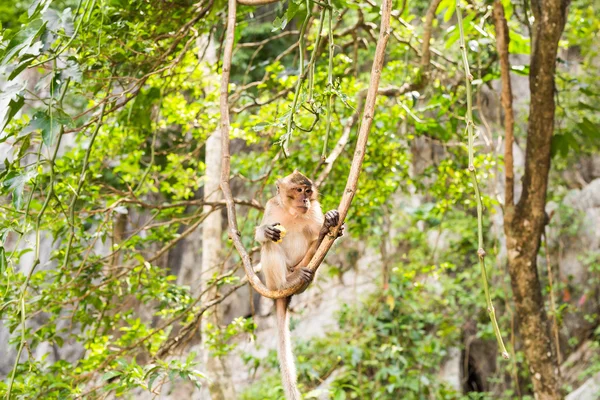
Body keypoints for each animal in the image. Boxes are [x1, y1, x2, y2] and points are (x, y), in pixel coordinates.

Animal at [255, 170, 344, 398]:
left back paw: (305, 272)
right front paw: (264, 231)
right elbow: (262, 237)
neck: (293, 213)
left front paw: (329, 224)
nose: (305, 199)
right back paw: (286, 281)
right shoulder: (271, 207)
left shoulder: (314, 210)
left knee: (314, 247)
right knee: (270, 246)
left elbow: (330, 235)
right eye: (298, 190)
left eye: (308, 191)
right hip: (272, 280)